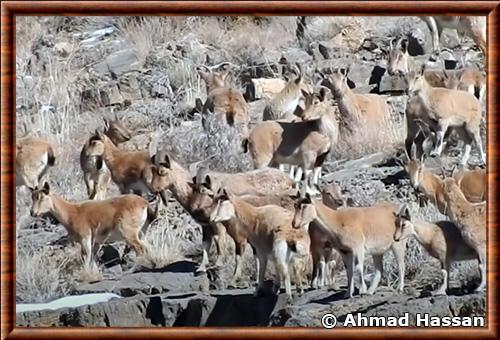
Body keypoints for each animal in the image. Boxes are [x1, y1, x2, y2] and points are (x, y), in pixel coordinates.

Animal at [143, 153, 294, 274]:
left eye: (162, 171)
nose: (152, 189)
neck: (192, 193)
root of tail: (291, 181)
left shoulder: (218, 224)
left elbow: (219, 242)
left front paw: (218, 264)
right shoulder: (205, 226)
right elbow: (206, 244)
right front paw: (202, 267)